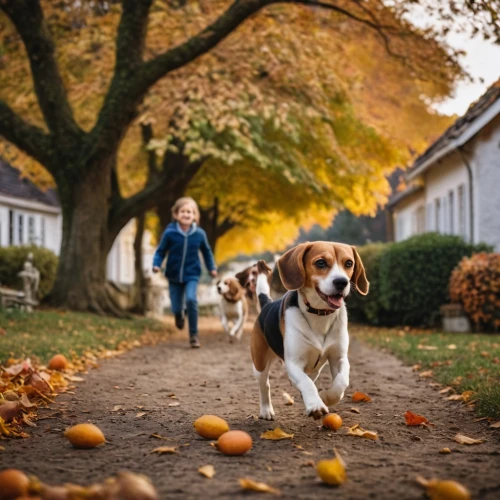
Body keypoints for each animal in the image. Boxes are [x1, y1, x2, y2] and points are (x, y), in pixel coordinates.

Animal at [252, 241, 370, 418]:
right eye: (320, 263)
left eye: (349, 263)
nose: (342, 282)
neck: (320, 313)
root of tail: (267, 304)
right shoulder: (293, 362)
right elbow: (306, 383)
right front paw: (315, 405)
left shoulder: (339, 358)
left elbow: (341, 383)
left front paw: (325, 397)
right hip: (259, 363)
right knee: (264, 385)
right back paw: (266, 410)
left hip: (314, 369)